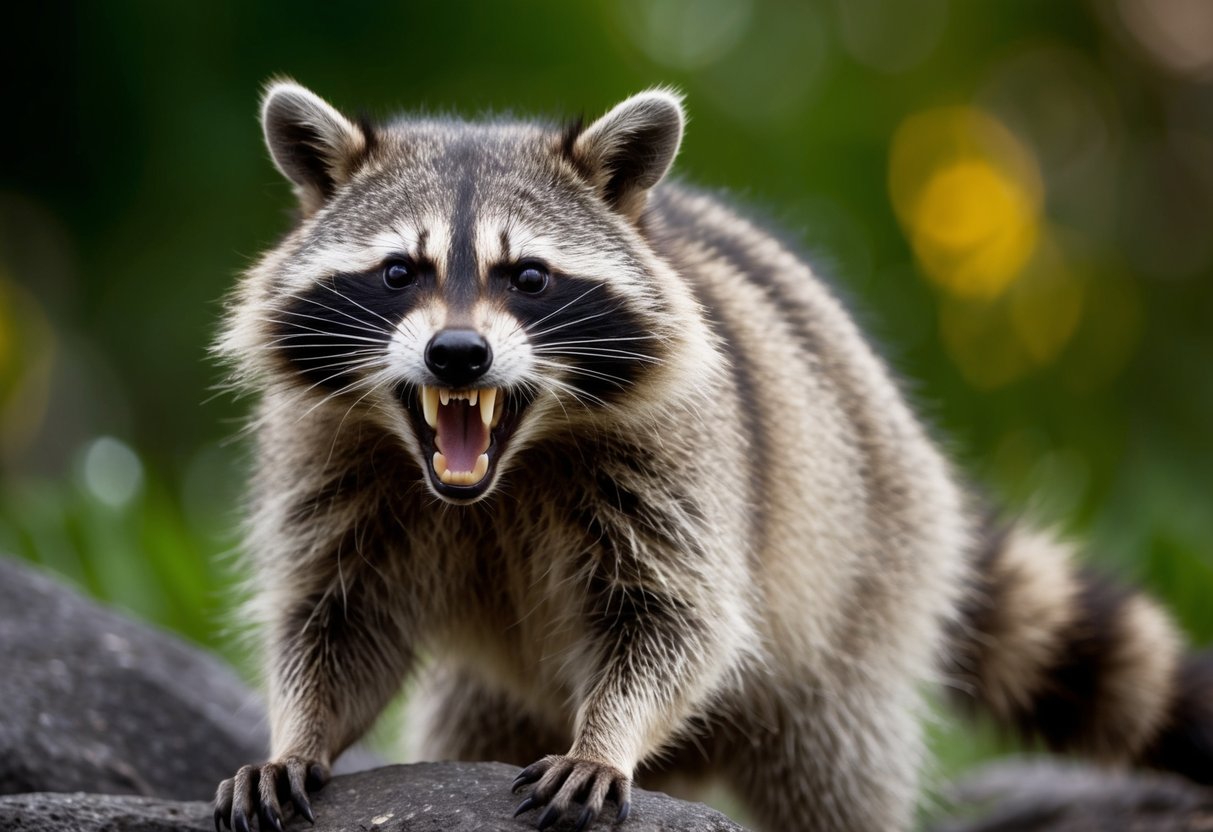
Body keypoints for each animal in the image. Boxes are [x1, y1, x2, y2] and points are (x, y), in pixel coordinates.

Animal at [212, 81, 1213, 832]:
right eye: (398, 272)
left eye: (528, 277)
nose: (458, 356)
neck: (498, 476)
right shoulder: (329, 455)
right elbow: (338, 617)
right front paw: (298, 734)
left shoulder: (678, 459)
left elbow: (675, 622)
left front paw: (604, 737)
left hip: (865, 591)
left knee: (833, 766)